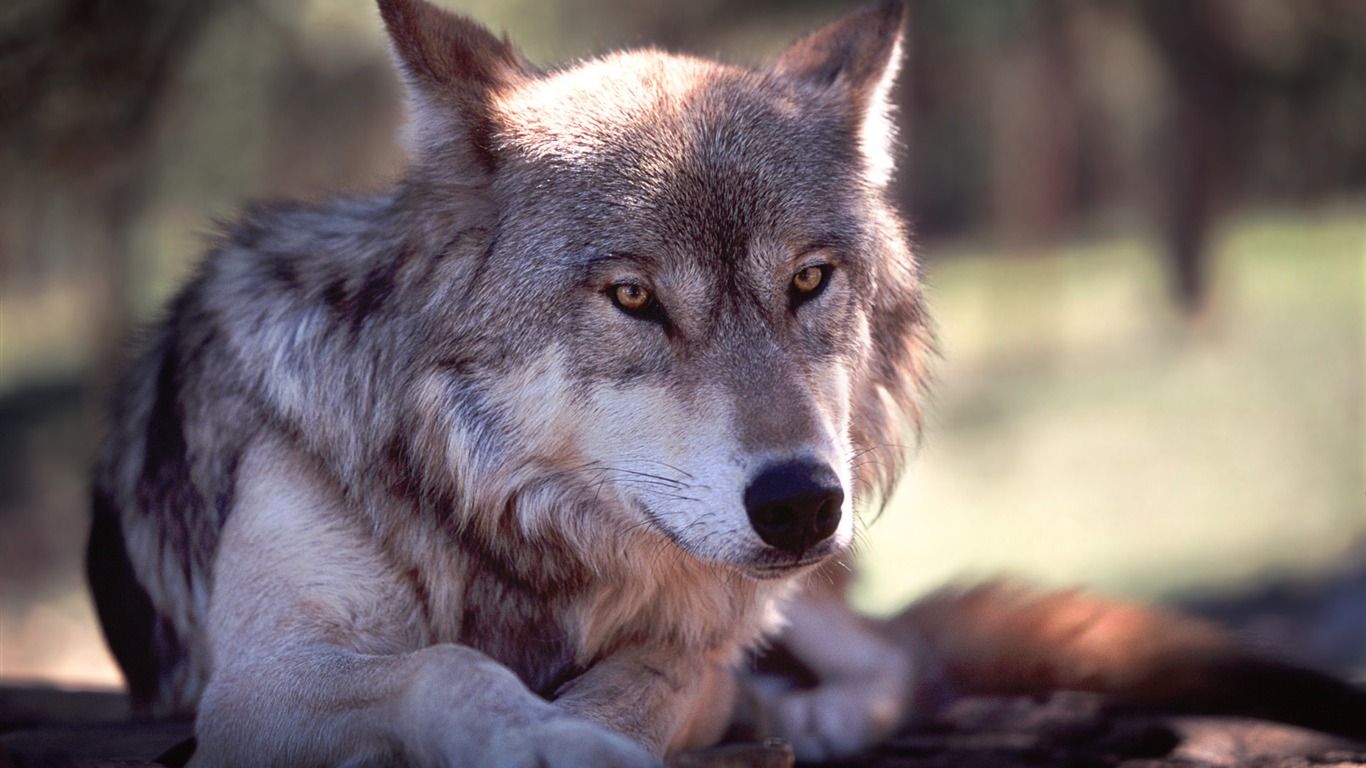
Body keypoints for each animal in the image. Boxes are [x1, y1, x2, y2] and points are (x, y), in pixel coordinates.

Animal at [87, 1, 1366, 766]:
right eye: (633, 297)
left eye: (806, 280)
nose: (800, 502)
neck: (520, 536)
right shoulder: (259, 685)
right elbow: (444, 667)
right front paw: (548, 737)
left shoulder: (695, 644)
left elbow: (652, 679)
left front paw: (601, 728)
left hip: (810, 597)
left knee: (899, 658)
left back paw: (810, 709)